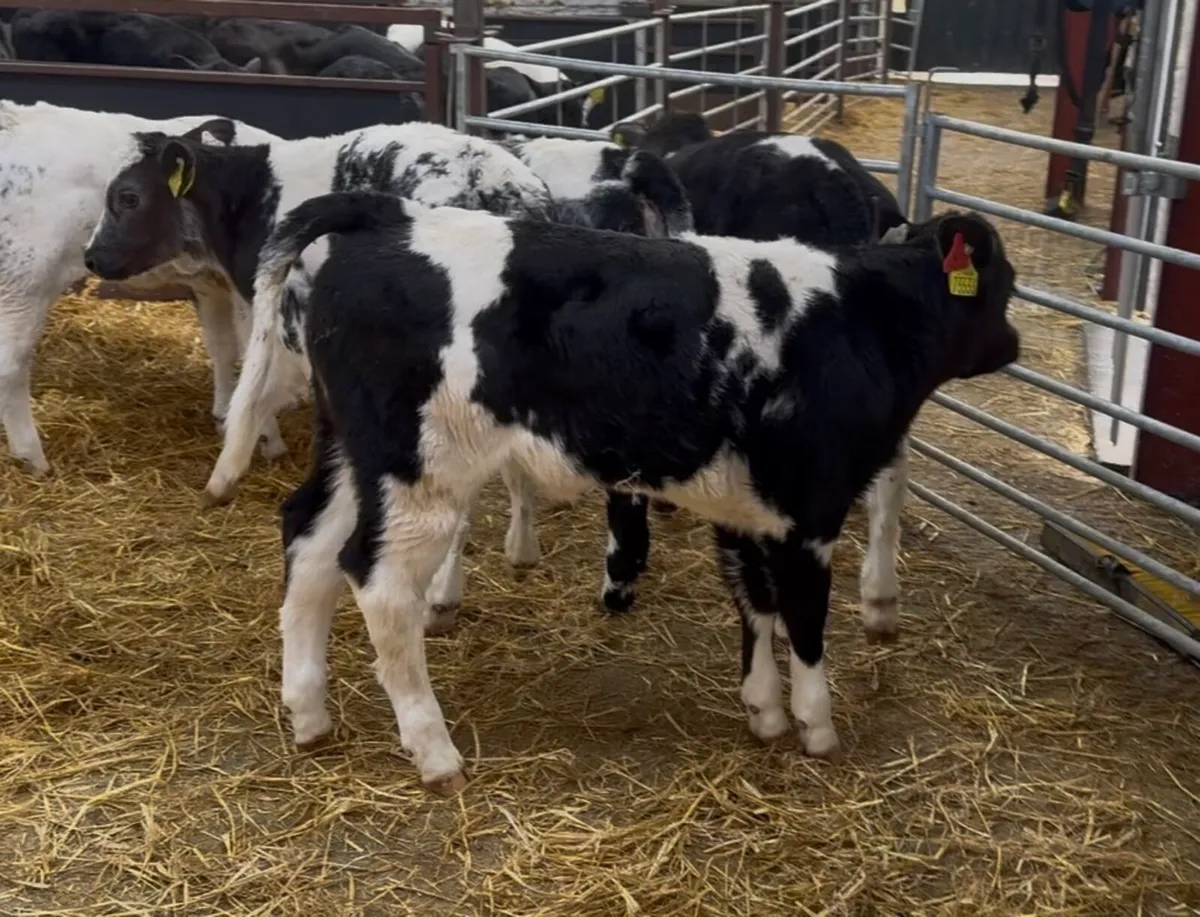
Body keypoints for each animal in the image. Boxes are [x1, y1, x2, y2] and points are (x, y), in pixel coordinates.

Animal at [0, 102, 282, 476]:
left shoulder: (209, 280)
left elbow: (223, 347)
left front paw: (224, 414)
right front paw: (267, 437)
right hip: (25, 281)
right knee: (10, 366)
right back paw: (31, 455)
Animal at [241, 189, 1020, 793]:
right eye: (1002, 284)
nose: (1014, 345)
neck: (860, 323)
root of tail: (389, 214)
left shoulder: (748, 511)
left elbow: (755, 607)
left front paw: (763, 710)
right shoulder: (811, 509)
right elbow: (804, 620)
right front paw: (816, 724)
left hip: (353, 453)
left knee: (308, 544)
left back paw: (309, 712)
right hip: (419, 471)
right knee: (378, 584)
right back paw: (434, 751)